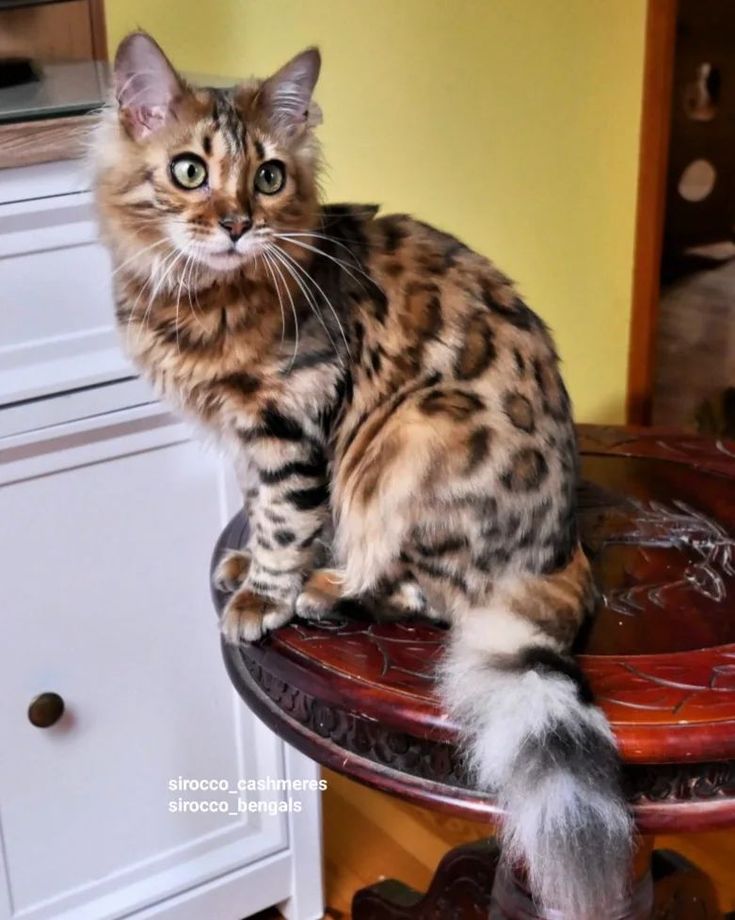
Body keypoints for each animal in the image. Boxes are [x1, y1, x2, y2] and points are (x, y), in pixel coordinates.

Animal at [93, 32, 632, 916]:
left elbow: (285, 521)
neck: (200, 297)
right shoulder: (253, 439)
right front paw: (245, 565)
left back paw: (331, 589)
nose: (237, 224)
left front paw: (264, 595)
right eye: (189, 171)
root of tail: (564, 552)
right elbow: (264, 514)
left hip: (411, 437)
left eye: (269, 177)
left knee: (424, 591)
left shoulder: (292, 419)